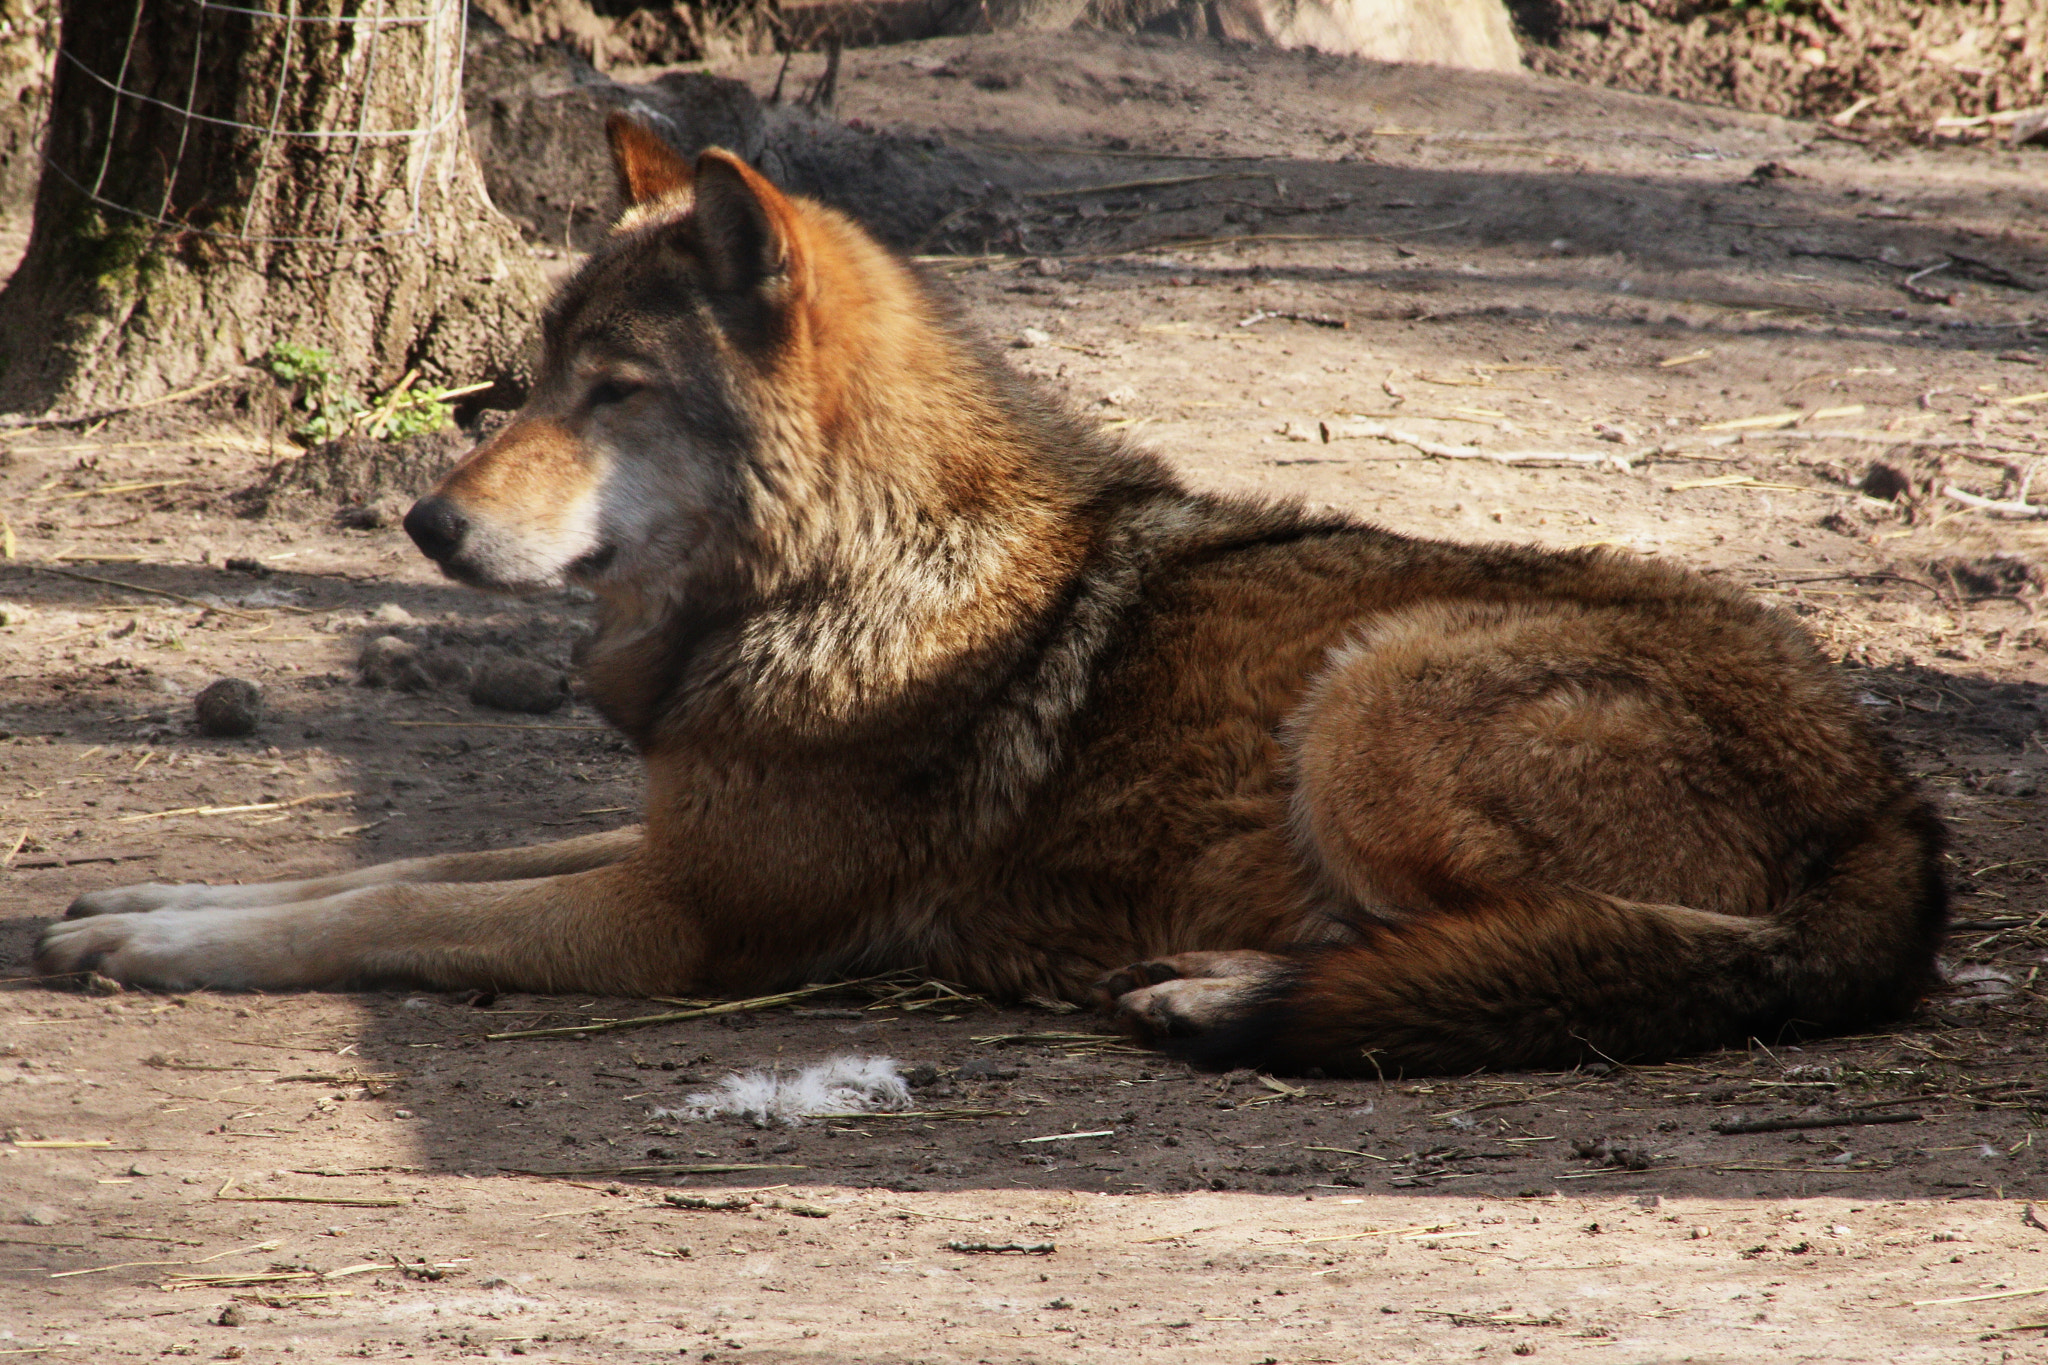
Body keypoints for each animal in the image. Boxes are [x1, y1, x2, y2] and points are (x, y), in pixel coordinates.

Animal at [37, 116, 1947, 1074]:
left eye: (615, 393)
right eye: (528, 381)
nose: (424, 525)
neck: (856, 576)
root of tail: (1895, 805)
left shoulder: (681, 925)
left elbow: (385, 911)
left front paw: (149, 948)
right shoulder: (667, 838)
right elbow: (393, 861)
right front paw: (141, 891)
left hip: (1376, 683)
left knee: (1605, 948)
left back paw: (1223, 993)